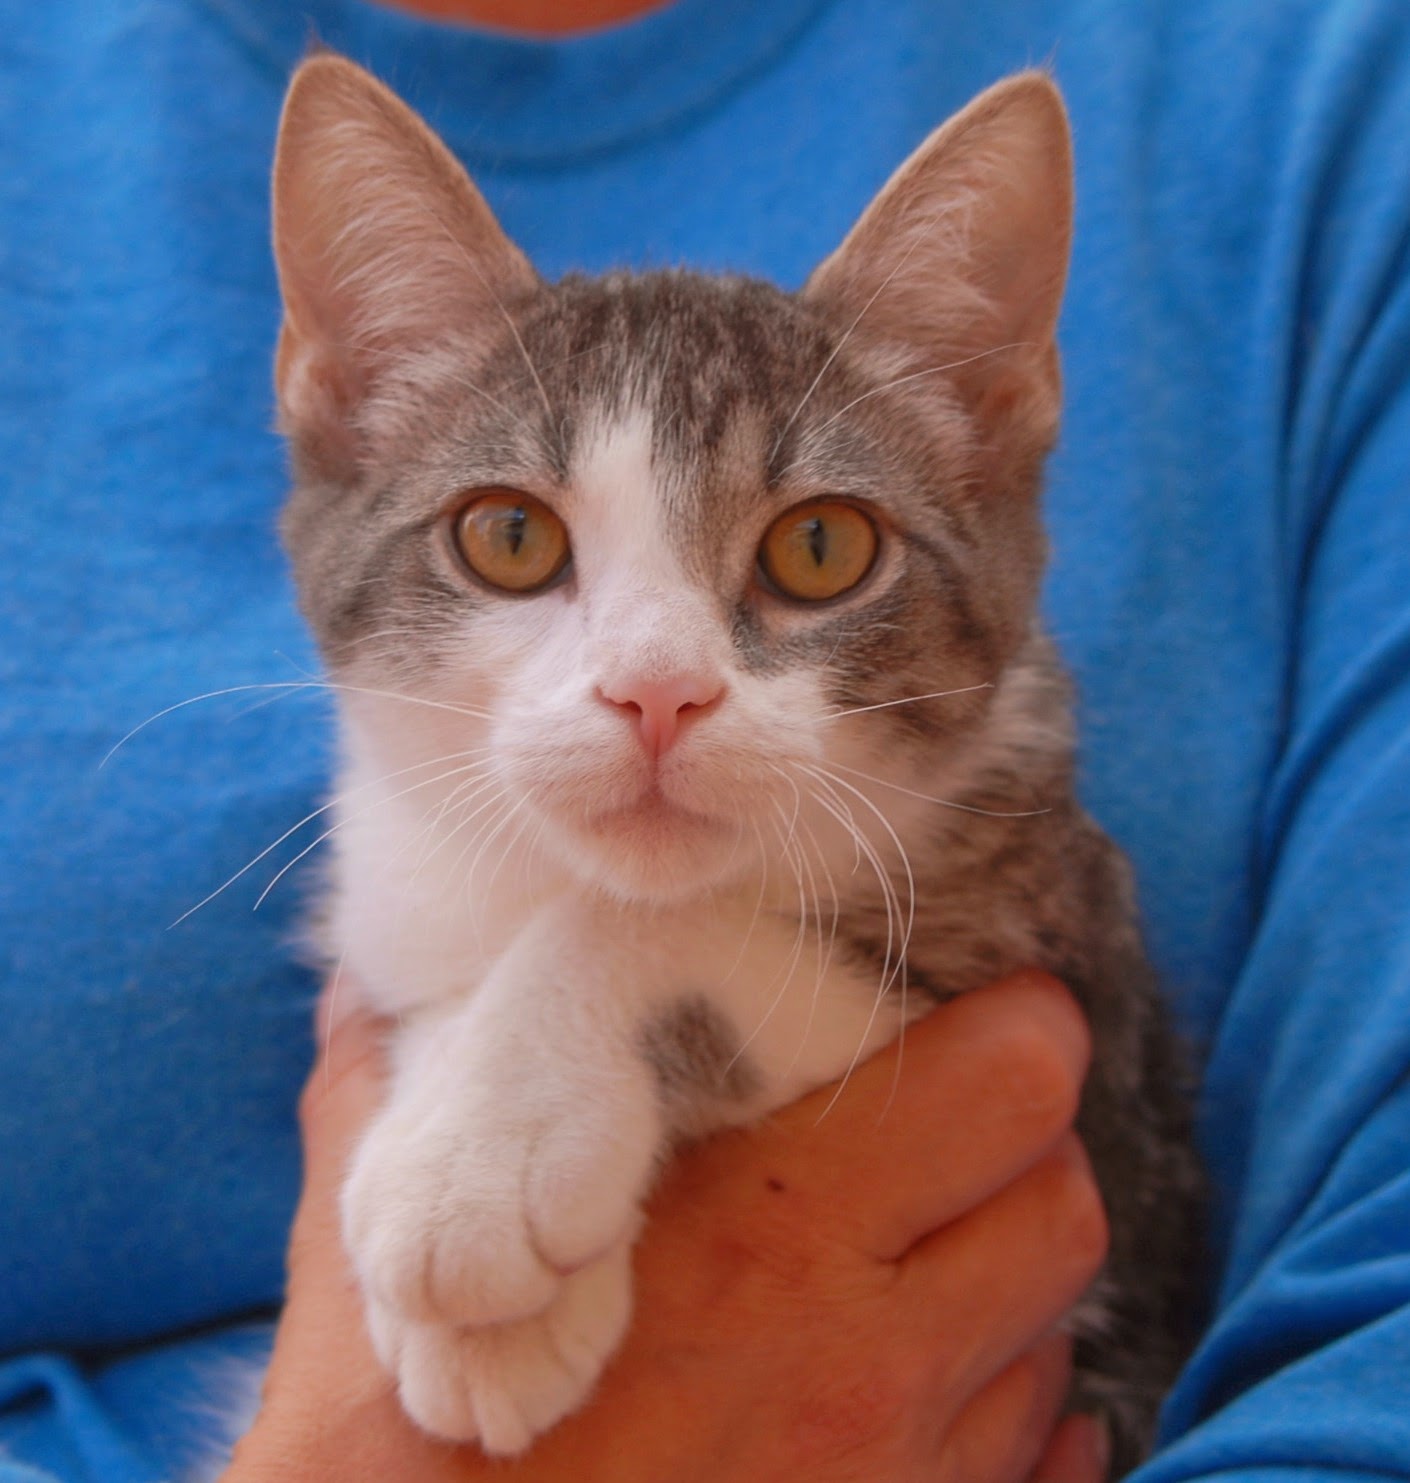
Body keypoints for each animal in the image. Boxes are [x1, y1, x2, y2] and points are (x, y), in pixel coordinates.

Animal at [266, 52, 1203, 1477]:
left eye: (822, 547)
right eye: (507, 537)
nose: (658, 691)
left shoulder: (1080, 998)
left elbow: (661, 927)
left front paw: (483, 1151)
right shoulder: (393, 886)